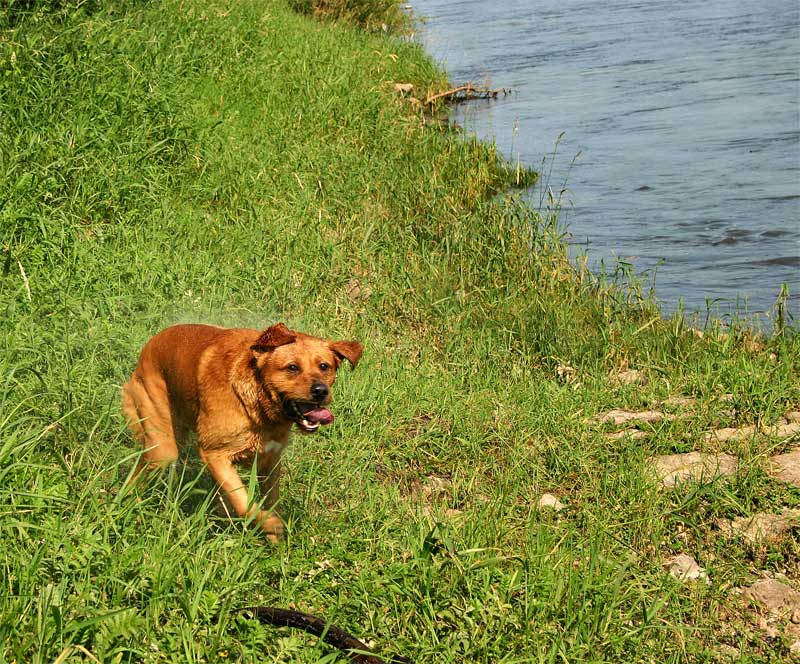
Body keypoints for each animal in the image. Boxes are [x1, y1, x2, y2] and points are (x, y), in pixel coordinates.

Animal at [121, 322, 362, 540]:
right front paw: (271, 524)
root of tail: (150, 344)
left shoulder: (270, 461)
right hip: (163, 447)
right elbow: (244, 503)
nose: (321, 391)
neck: (258, 408)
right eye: (292, 367)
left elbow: (269, 501)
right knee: (138, 475)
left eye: (324, 366)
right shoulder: (214, 454)